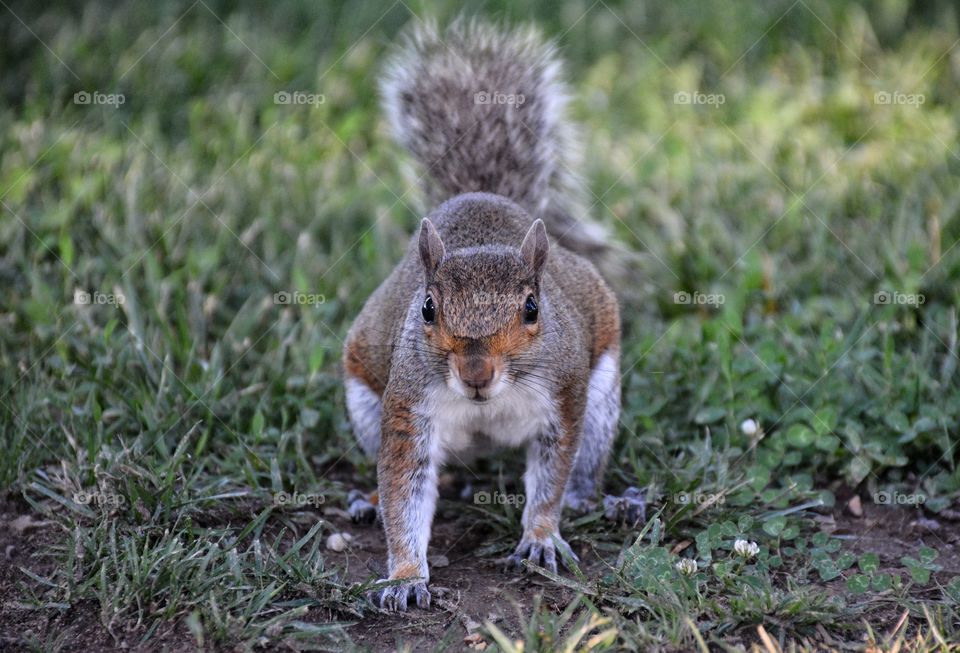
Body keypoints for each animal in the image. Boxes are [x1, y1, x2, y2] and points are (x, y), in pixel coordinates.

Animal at [342, 18, 642, 612]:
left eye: (532, 307)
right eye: (427, 308)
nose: (476, 373)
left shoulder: (565, 398)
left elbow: (550, 476)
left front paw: (542, 536)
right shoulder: (407, 407)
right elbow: (403, 490)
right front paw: (405, 577)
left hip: (601, 399)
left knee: (583, 470)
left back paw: (596, 500)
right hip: (365, 405)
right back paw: (368, 501)